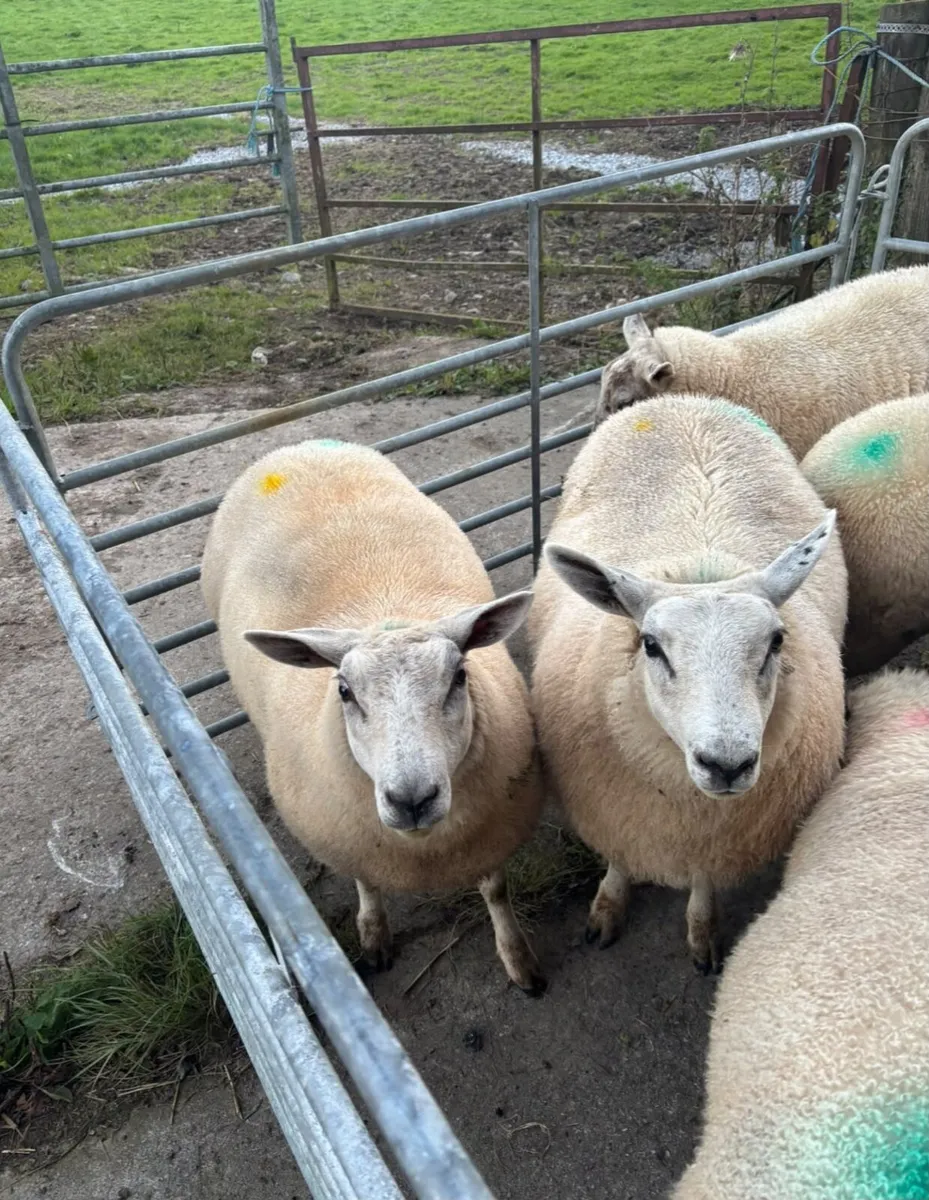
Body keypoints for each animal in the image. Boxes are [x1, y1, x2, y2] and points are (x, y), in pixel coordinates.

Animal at [201, 438, 546, 994]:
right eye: (344, 691)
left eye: (460, 677)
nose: (412, 800)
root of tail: (297, 445)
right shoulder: (352, 839)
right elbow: (366, 883)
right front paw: (373, 933)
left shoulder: (491, 835)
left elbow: (496, 892)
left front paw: (519, 960)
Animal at [528, 394, 847, 970]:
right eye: (651, 645)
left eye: (777, 641)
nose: (727, 764)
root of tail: (683, 401)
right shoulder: (613, 810)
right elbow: (619, 862)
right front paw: (607, 907)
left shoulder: (714, 838)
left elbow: (703, 883)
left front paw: (703, 934)